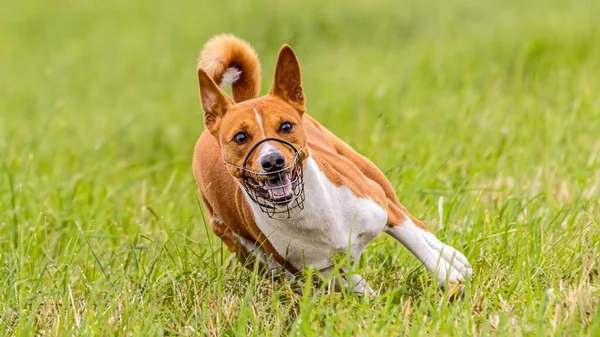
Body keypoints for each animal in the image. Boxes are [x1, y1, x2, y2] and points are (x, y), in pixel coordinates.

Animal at [195, 32, 472, 292]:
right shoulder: (318, 270)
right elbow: (354, 287)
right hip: (246, 249)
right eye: (240, 137)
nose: (273, 161)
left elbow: (421, 248)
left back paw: (454, 257)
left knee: (413, 220)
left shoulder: (383, 209)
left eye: (286, 126)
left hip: (369, 173)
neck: (306, 211)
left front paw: (451, 278)